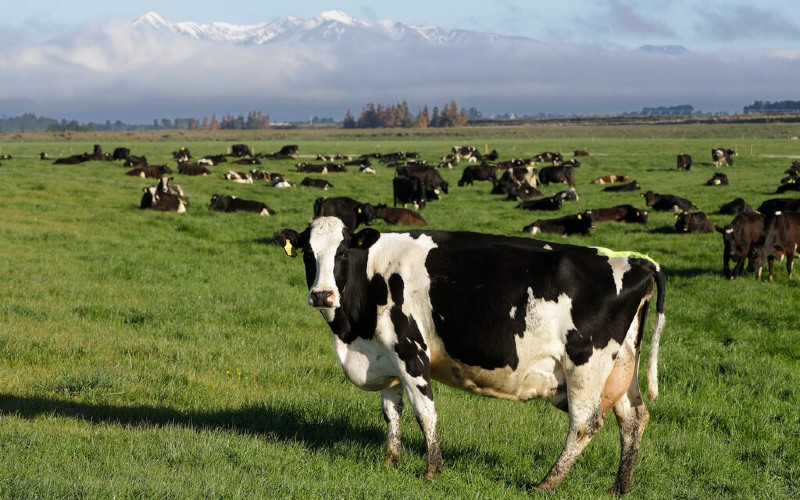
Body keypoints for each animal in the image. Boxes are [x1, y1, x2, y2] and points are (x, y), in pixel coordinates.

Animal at [273, 217, 665, 494]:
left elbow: (424, 412)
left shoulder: (410, 350)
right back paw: (620, 486)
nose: (322, 295)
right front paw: (390, 461)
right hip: (620, 368)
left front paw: (432, 470)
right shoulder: (385, 355)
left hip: (585, 364)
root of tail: (636, 262)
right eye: (308, 254)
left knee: (585, 423)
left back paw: (547, 483)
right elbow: (391, 412)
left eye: (342, 253)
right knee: (634, 418)